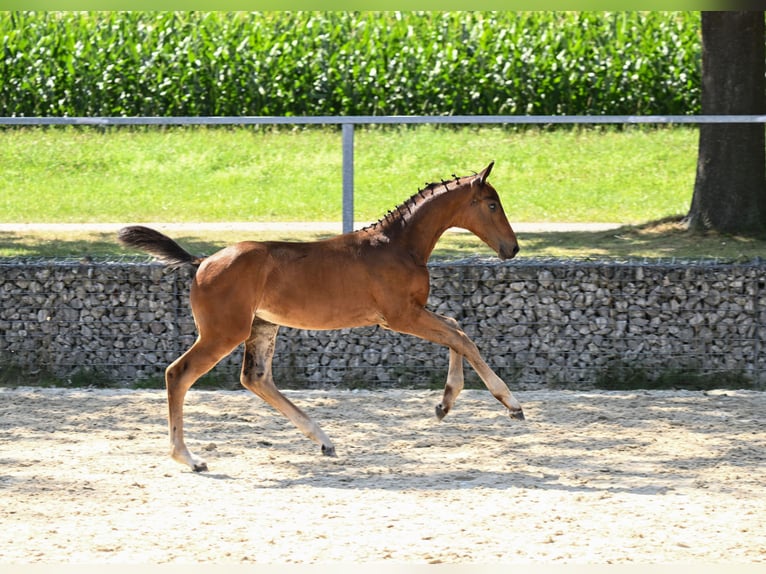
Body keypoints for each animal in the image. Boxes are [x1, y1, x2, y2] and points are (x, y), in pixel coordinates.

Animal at [120, 162, 524, 472]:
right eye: (492, 205)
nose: (513, 248)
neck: (398, 246)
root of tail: (202, 262)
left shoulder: (409, 313)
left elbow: (456, 329)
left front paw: (445, 403)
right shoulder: (400, 315)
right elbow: (460, 336)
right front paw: (509, 403)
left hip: (262, 325)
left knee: (256, 378)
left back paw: (324, 440)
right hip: (223, 332)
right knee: (179, 374)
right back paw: (188, 457)